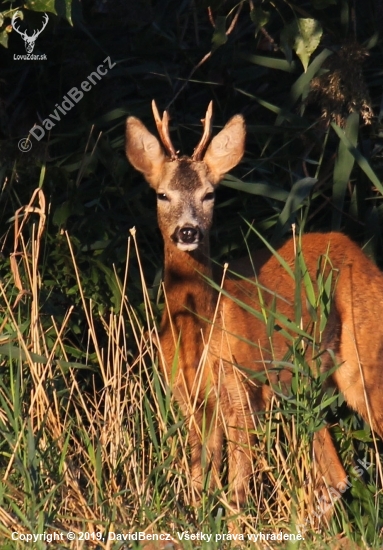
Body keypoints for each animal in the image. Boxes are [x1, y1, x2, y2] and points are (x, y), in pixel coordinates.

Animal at [127, 102, 383, 516]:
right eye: (162, 194)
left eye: (209, 194)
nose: (187, 231)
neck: (199, 336)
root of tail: (362, 257)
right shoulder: (191, 402)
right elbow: (199, 483)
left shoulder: (244, 394)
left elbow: (237, 491)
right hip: (306, 385)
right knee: (335, 477)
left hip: (364, 357)